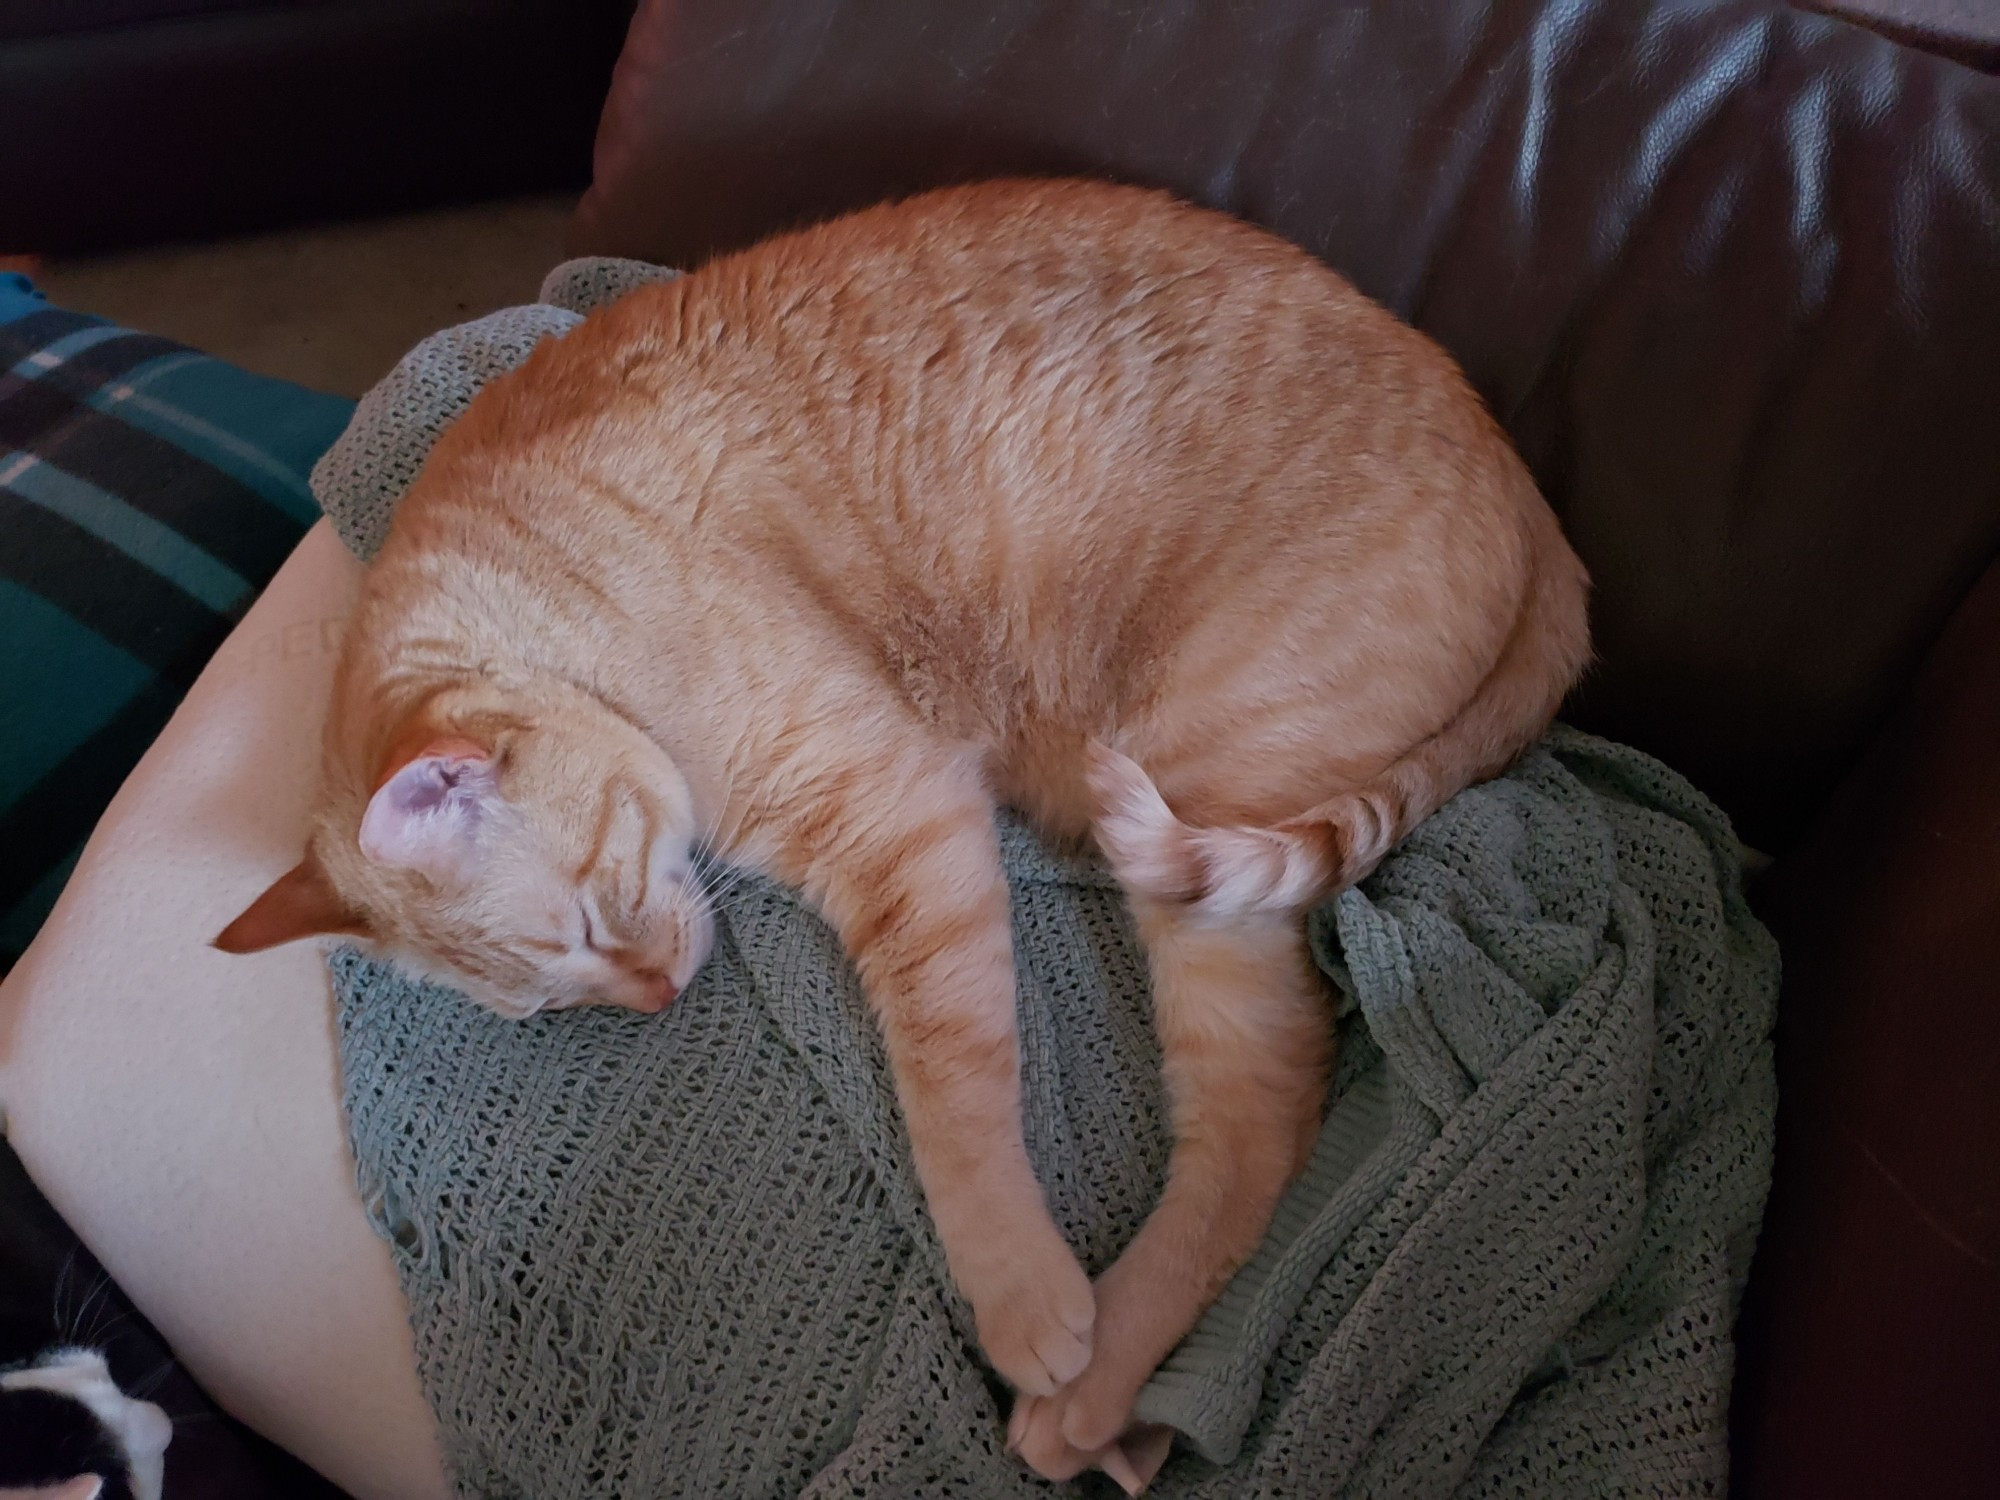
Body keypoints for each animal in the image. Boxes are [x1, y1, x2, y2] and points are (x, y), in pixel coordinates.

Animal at [215, 179, 1592, 1496]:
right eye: (554, 1003)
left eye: (596, 913)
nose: (657, 997)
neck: (568, 614)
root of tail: (1542, 526)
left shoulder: (902, 811)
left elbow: (953, 1099)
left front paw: (1023, 1298)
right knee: (1264, 1118)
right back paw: (1120, 1420)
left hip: (1195, 791)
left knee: (1259, 1120)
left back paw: (1087, 1386)